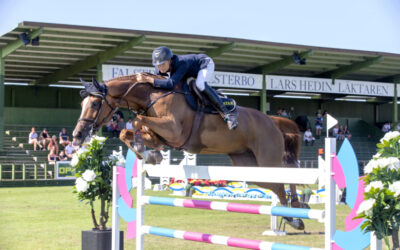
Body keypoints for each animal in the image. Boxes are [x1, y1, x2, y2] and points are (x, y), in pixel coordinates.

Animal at [72, 73, 304, 229]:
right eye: (81, 103)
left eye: (94, 104)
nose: (77, 135)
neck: (152, 95)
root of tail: (272, 120)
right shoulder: (161, 133)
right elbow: (127, 132)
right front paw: (149, 153)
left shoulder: (174, 131)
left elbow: (137, 120)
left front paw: (147, 151)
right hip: (249, 165)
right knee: (277, 184)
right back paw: (294, 212)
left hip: (267, 159)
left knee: (287, 174)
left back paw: (295, 216)